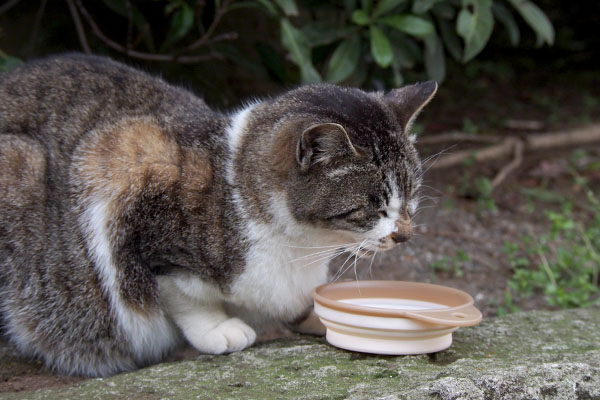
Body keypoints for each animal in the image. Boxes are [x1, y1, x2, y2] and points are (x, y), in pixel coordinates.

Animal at [1, 54, 436, 378]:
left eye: (411, 197)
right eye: (375, 207)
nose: (405, 234)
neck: (298, 244)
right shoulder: (126, 175)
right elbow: (178, 293)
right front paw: (217, 329)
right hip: (21, 168)